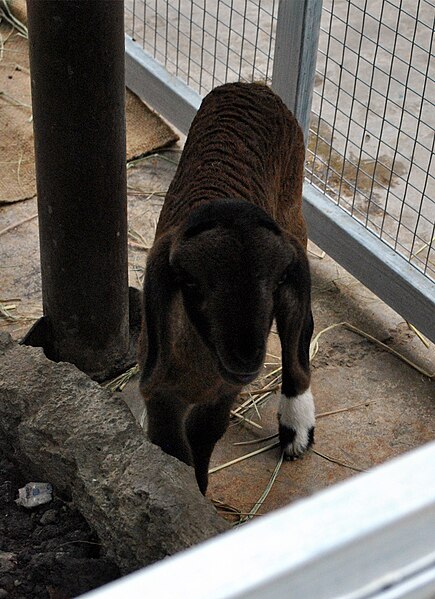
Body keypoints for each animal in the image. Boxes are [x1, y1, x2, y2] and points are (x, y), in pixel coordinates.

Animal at [141, 82, 316, 494]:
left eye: (278, 278)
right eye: (189, 280)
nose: (246, 358)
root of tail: (252, 86)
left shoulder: (223, 394)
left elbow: (203, 435)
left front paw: (199, 492)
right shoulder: (158, 392)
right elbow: (172, 449)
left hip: (293, 213)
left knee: (299, 329)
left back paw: (296, 427)